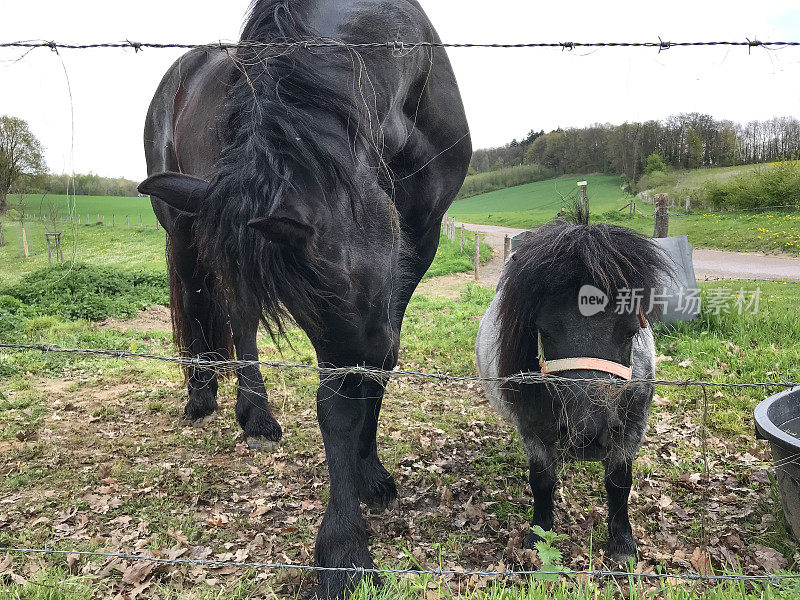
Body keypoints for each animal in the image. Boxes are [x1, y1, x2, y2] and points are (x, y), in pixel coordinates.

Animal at [141, 0, 472, 596]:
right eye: (314, 294)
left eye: (338, 278)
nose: (360, 357)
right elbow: (335, 404)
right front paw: (344, 549)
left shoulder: (420, 239)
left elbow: (379, 374)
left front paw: (370, 474)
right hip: (184, 228)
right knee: (221, 312)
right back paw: (231, 406)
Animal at [478, 220, 672, 564]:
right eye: (543, 330)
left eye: (629, 331)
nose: (589, 437)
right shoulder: (533, 429)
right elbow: (542, 481)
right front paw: (539, 534)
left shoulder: (633, 427)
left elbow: (619, 482)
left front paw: (622, 543)